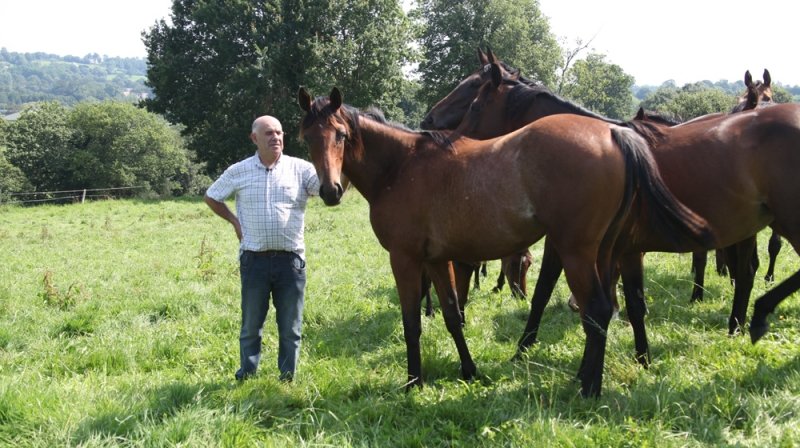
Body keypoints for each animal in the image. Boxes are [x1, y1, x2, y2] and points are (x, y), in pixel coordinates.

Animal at [298, 86, 712, 397]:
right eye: (307, 138)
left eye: (341, 136)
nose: (331, 191)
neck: (401, 166)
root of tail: (613, 134)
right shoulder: (436, 260)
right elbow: (452, 316)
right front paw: (469, 370)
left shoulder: (405, 260)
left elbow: (412, 323)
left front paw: (414, 382)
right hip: (604, 252)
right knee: (604, 310)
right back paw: (583, 377)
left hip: (577, 252)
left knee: (596, 309)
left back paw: (588, 389)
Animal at [424, 59, 800, 368]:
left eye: (473, 90)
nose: (431, 120)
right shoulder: (618, 247)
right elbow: (629, 300)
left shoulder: (566, 241)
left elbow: (544, 290)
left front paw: (523, 347)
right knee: (745, 269)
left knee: (747, 270)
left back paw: (751, 318)